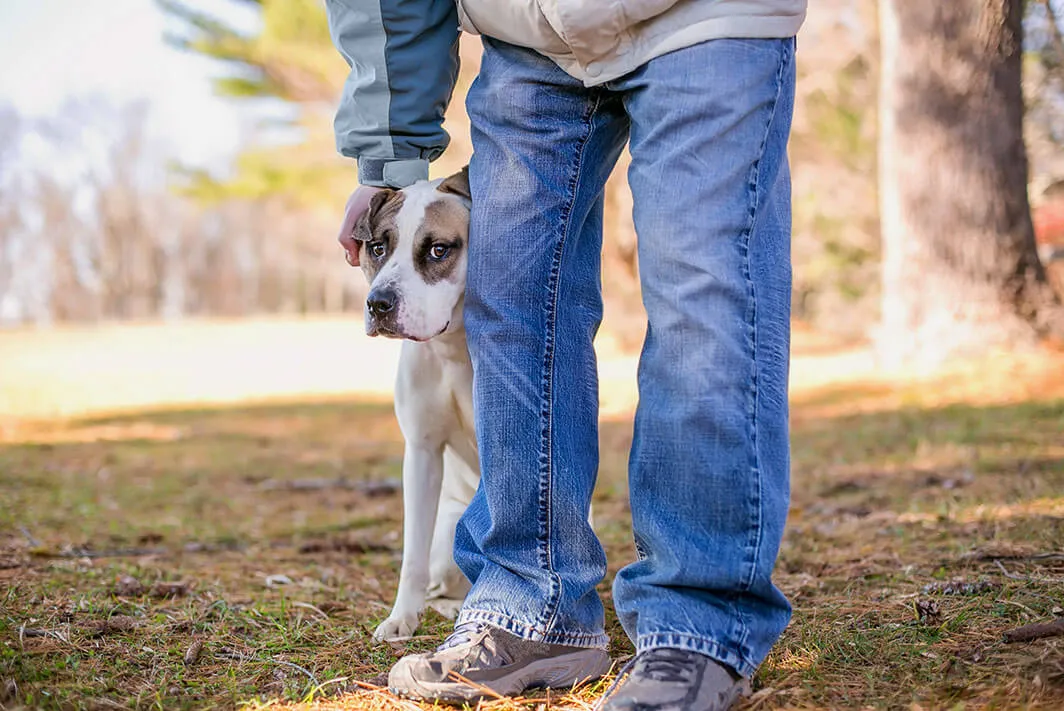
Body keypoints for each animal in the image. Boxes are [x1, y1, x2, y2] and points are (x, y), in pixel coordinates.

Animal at [353, 168, 478, 642]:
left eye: (439, 249)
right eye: (377, 247)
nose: (378, 303)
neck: (455, 347)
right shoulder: (422, 452)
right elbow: (412, 557)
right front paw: (401, 617)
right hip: (448, 542)